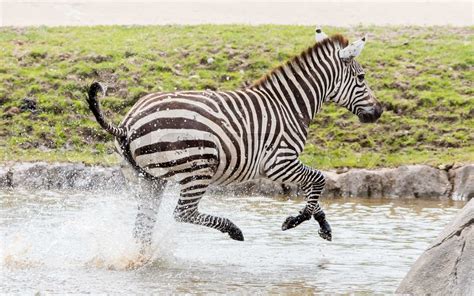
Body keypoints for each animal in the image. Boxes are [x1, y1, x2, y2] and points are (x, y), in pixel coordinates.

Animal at [86, 28, 382, 247]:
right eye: (361, 77)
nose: (379, 112)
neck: (288, 105)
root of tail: (128, 124)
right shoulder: (278, 162)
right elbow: (318, 180)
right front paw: (294, 221)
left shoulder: (284, 165)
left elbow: (314, 191)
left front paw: (322, 225)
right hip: (198, 167)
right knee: (182, 213)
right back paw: (233, 230)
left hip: (149, 178)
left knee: (142, 227)